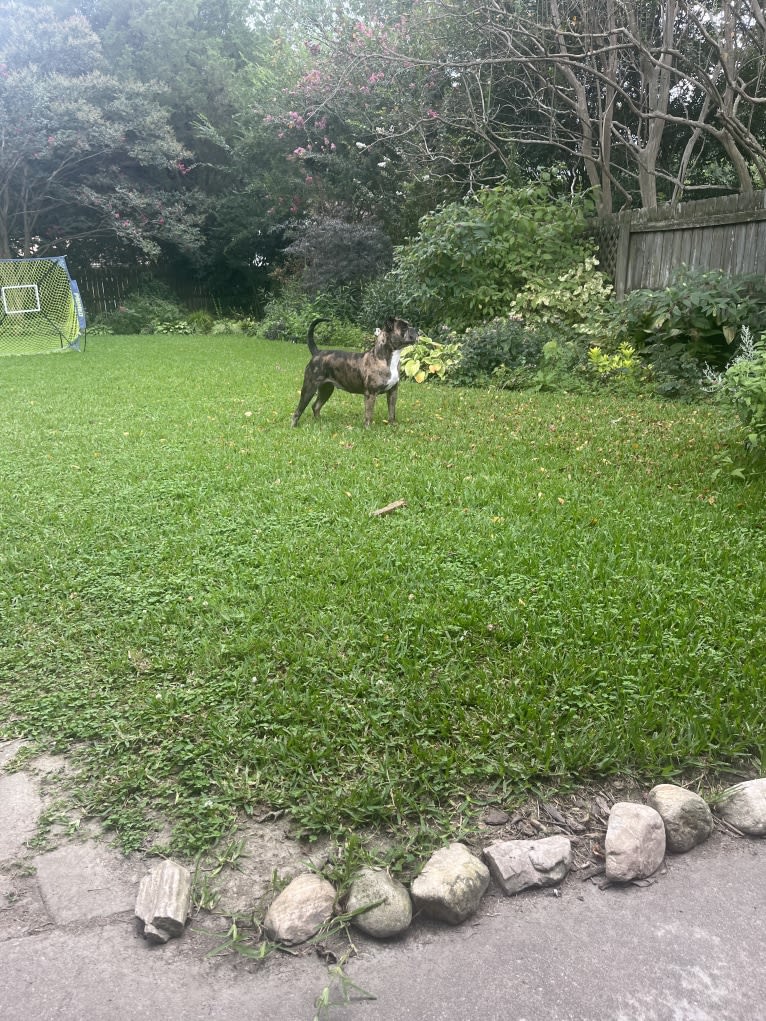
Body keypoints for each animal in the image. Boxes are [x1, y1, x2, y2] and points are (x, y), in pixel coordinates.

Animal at [290, 314, 420, 426]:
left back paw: (319, 422)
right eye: (403, 327)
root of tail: (317, 352)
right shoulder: (370, 394)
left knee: (316, 406)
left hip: (326, 389)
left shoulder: (393, 392)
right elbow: (369, 414)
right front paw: (368, 428)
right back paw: (294, 425)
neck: (384, 357)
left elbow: (392, 412)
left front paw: (393, 426)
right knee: (299, 409)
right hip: (309, 387)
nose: (417, 329)